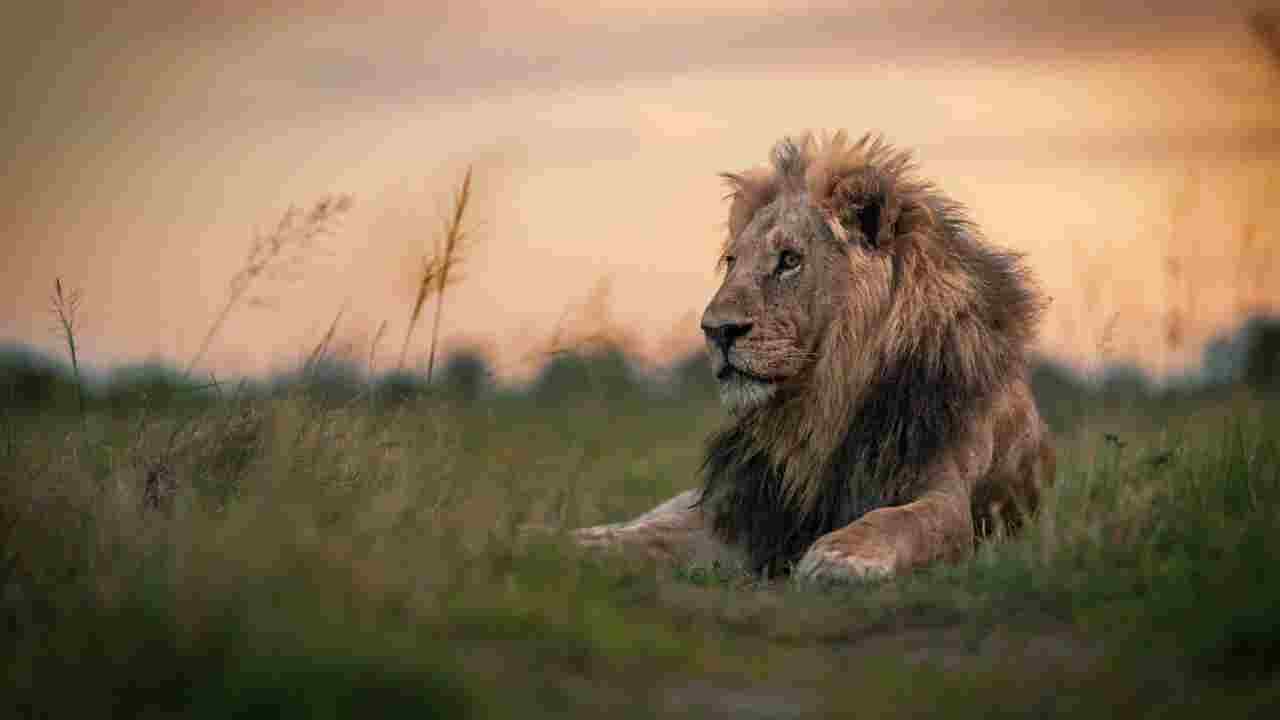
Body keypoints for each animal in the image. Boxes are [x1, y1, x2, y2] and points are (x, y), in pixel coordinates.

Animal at [572, 131, 1055, 582]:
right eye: (732, 262)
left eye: (789, 260)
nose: (716, 331)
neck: (823, 403)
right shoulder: (745, 509)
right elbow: (656, 535)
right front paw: (578, 547)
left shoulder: (947, 495)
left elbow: (899, 521)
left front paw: (840, 556)